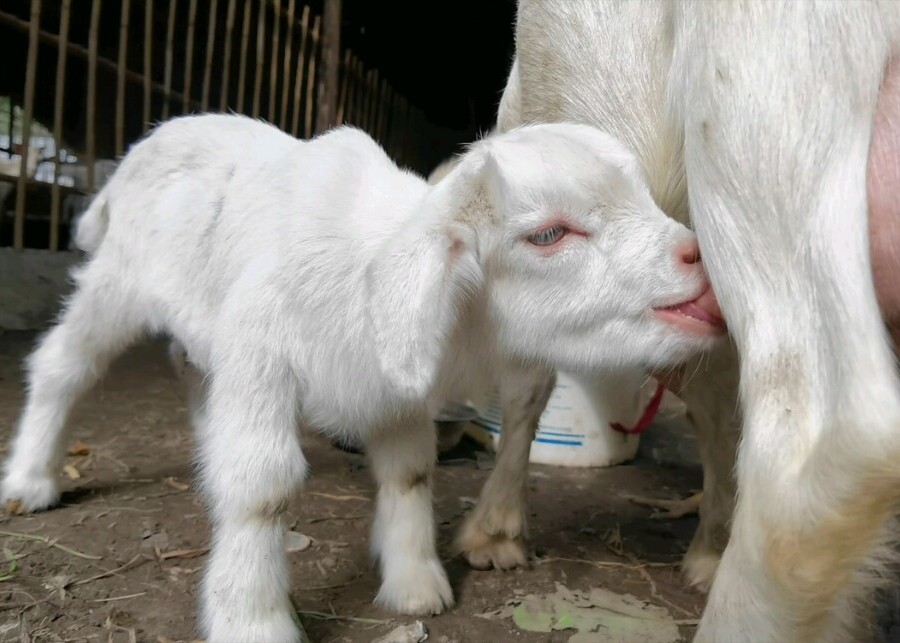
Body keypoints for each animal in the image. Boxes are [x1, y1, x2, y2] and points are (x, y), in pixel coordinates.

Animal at [1, 113, 725, 642]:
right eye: (548, 234)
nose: (700, 260)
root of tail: (137, 152)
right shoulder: (262, 347)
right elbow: (263, 486)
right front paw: (252, 616)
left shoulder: (389, 380)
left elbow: (409, 471)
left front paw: (414, 584)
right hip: (117, 282)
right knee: (62, 364)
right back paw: (30, 479)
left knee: (192, 369)